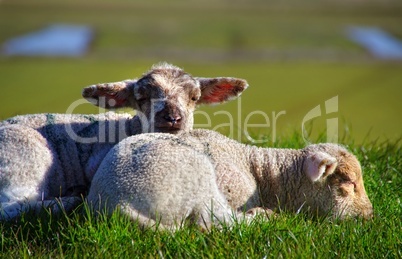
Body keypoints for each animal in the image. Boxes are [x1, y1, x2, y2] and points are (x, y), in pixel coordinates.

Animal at [0, 64, 248, 220]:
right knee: (11, 207)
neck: (129, 129)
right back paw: (70, 201)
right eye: (141, 98)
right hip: (24, 156)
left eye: (194, 98)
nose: (172, 118)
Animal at [87, 130, 374, 232]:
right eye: (349, 182)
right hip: (197, 179)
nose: (370, 216)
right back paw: (264, 216)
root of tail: (117, 202)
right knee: (215, 222)